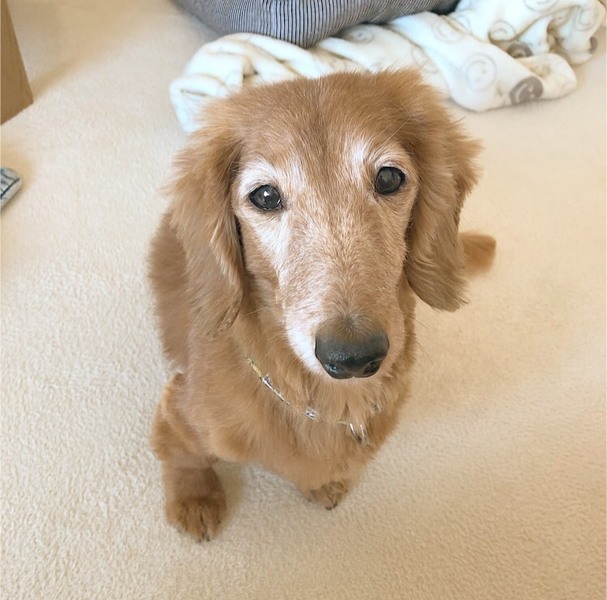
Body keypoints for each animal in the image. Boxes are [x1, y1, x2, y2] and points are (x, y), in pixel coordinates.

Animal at [148, 70, 495, 540]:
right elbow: (184, 454)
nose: (353, 358)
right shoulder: (180, 413)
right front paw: (195, 499)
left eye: (389, 178)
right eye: (265, 196)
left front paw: (324, 484)